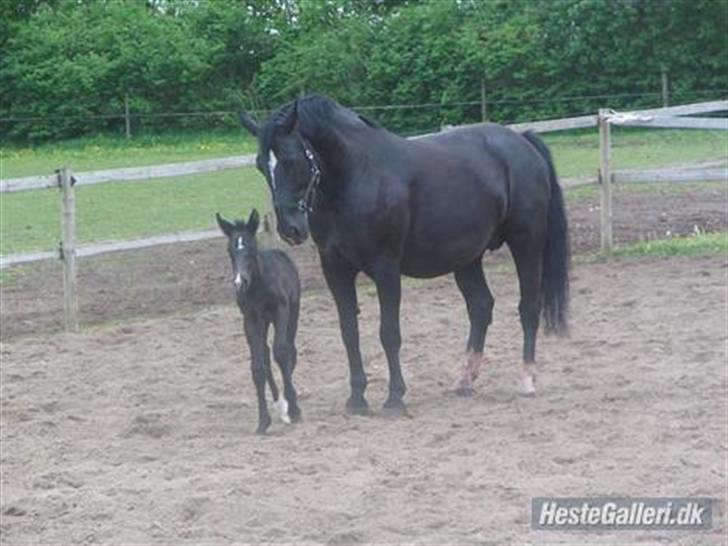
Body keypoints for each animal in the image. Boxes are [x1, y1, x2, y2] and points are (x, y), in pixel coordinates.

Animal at [219, 208, 304, 434]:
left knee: (290, 349)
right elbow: (258, 366)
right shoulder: (250, 319)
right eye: (230, 250)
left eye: (251, 247)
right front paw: (263, 421)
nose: (240, 282)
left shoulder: (281, 311)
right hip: (263, 322)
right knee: (266, 354)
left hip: (293, 313)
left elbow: (282, 352)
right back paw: (279, 403)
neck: (258, 287)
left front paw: (294, 409)